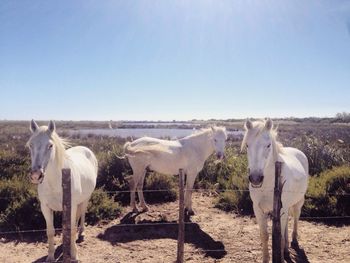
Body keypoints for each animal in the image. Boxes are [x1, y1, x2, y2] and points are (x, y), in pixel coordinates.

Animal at [26, 121, 98, 262]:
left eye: (50, 145)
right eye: (31, 145)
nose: (36, 175)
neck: (55, 182)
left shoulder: (71, 206)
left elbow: (71, 229)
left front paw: (74, 255)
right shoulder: (45, 208)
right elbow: (50, 231)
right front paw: (50, 256)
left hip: (86, 198)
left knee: (82, 214)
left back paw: (82, 233)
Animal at [242, 119, 308, 263]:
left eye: (268, 145)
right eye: (248, 145)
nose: (255, 178)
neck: (268, 184)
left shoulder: (281, 209)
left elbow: (279, 237)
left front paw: (281, 257)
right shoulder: (258, 209)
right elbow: (265, 235)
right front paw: (266, 259)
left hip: (298, 202)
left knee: (295, 218)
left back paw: (294, 241)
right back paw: (286, 249)